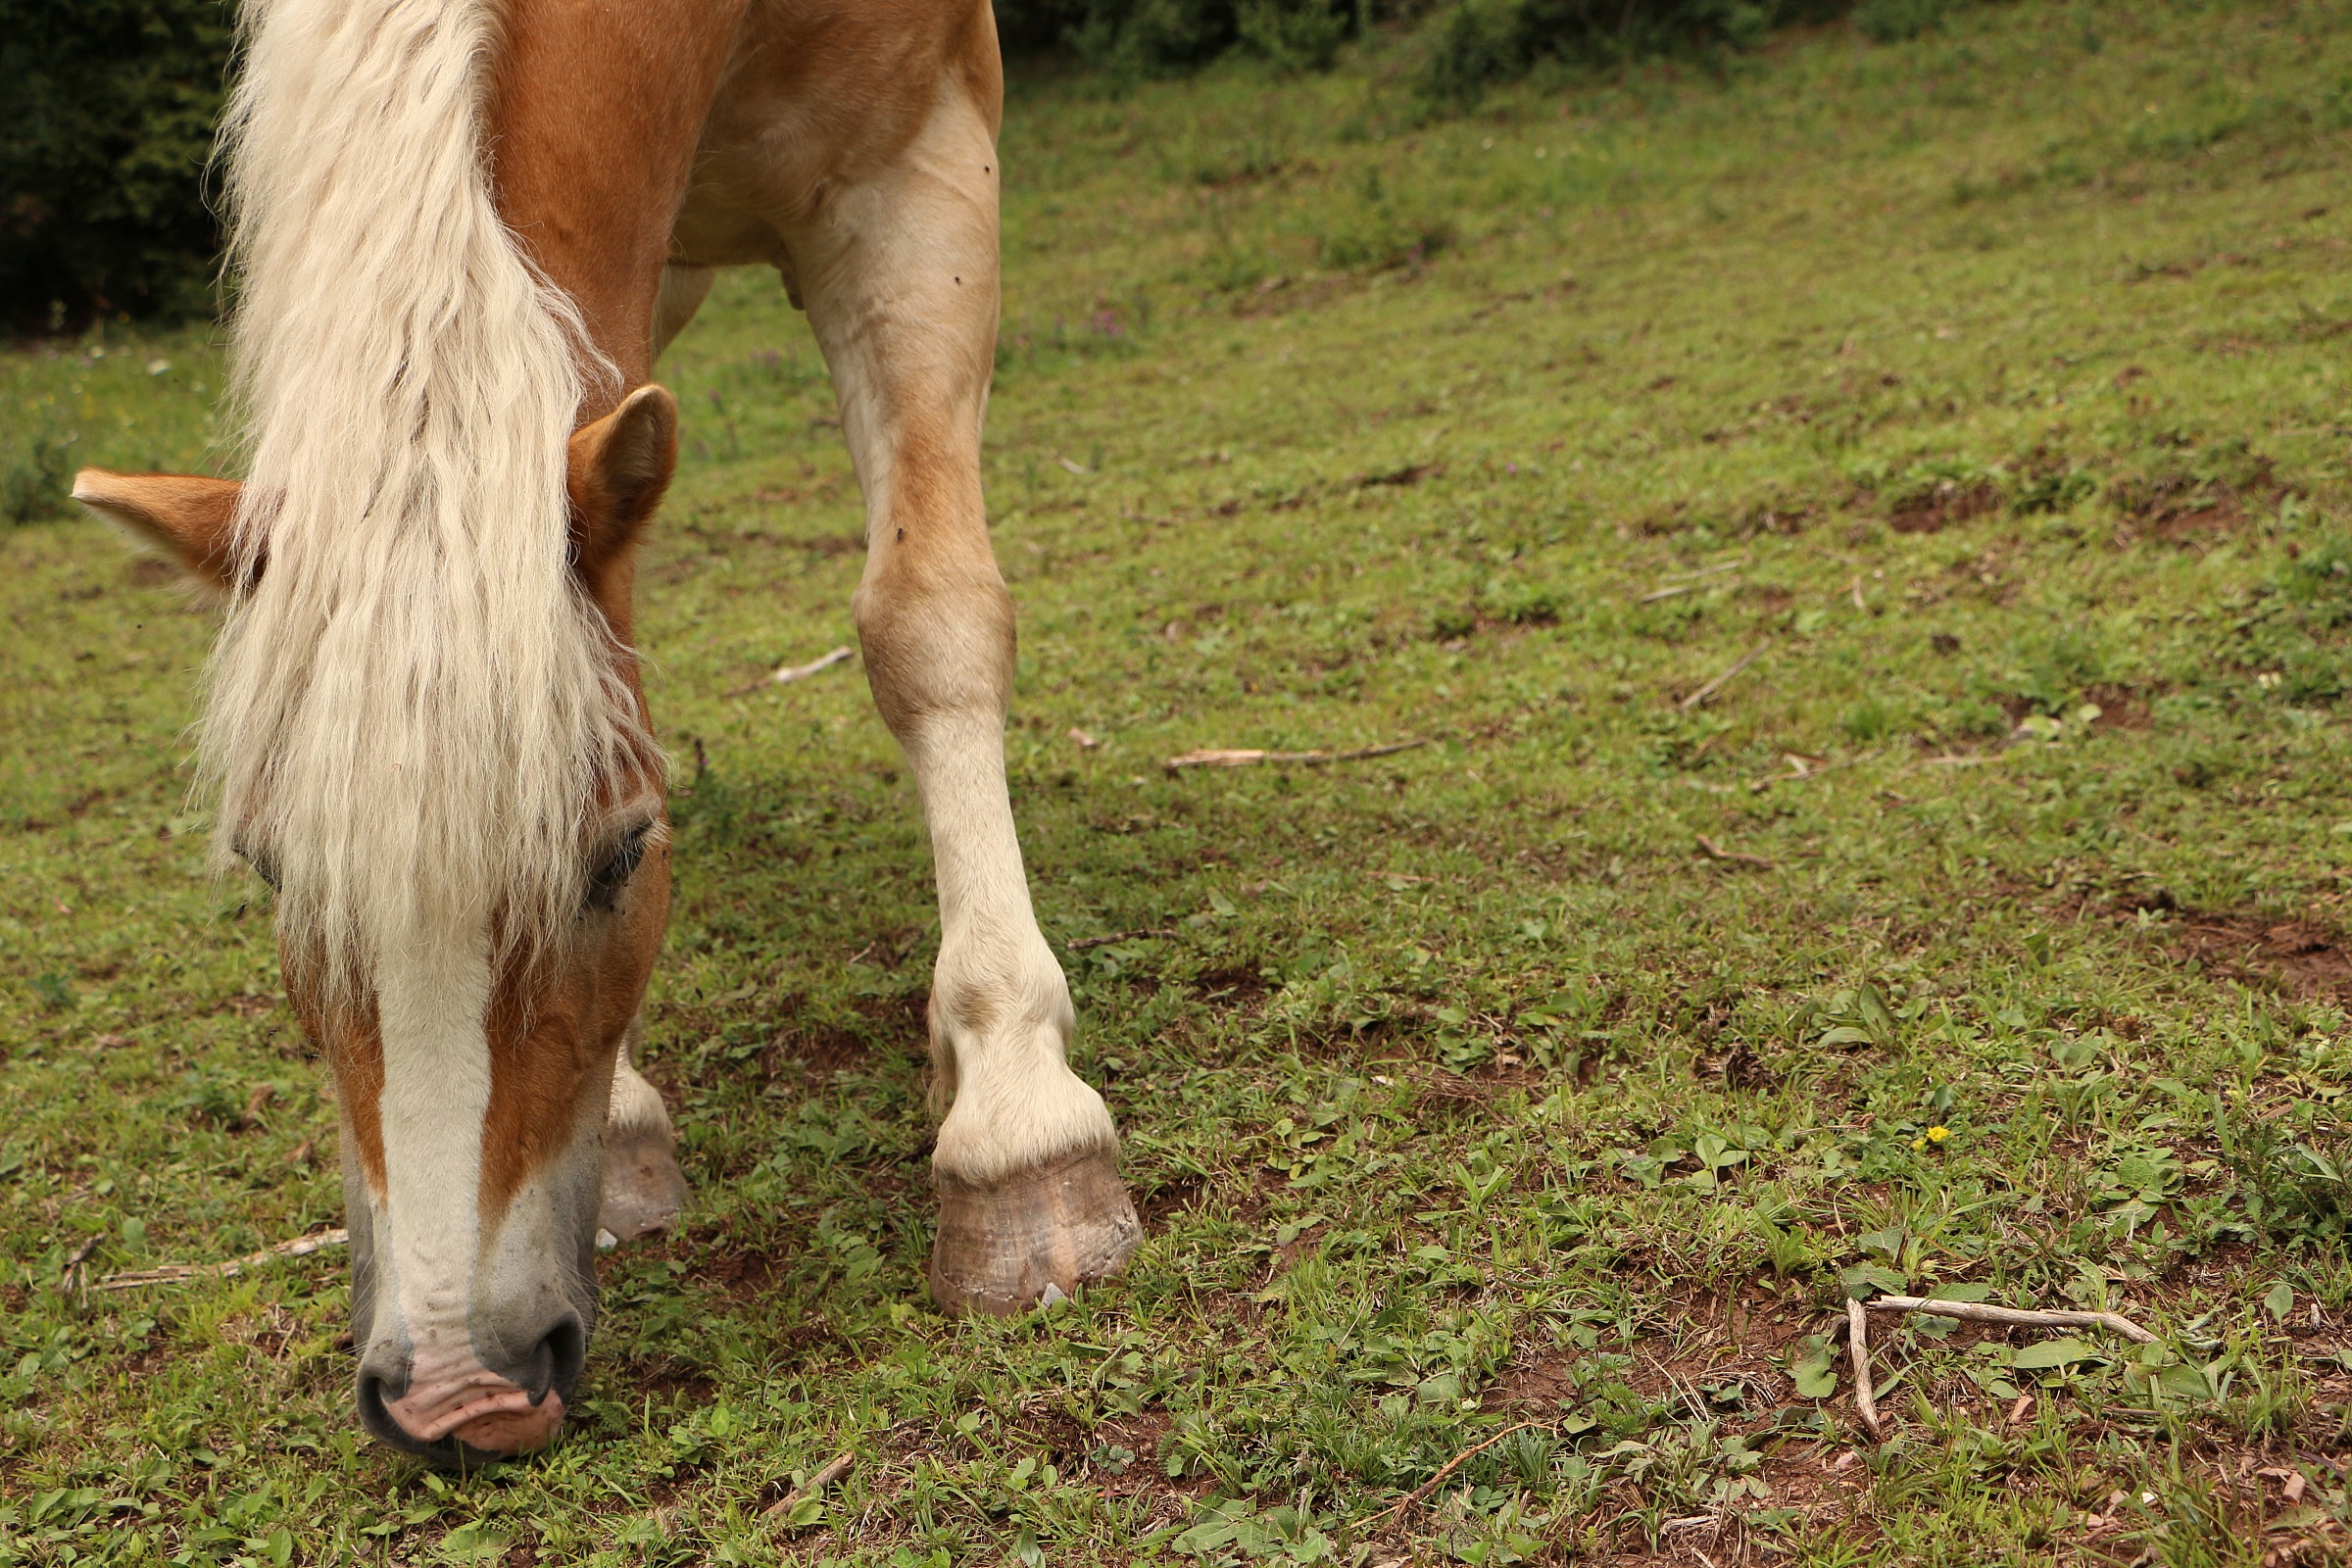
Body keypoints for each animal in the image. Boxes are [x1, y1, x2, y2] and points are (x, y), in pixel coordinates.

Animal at [70, 0, 1140, 1466]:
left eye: (624, 857)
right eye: (276, 874)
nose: (460, 1391)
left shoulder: (917, 168)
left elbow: (930, 620)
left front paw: (1022, 1122)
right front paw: (630, 1120)